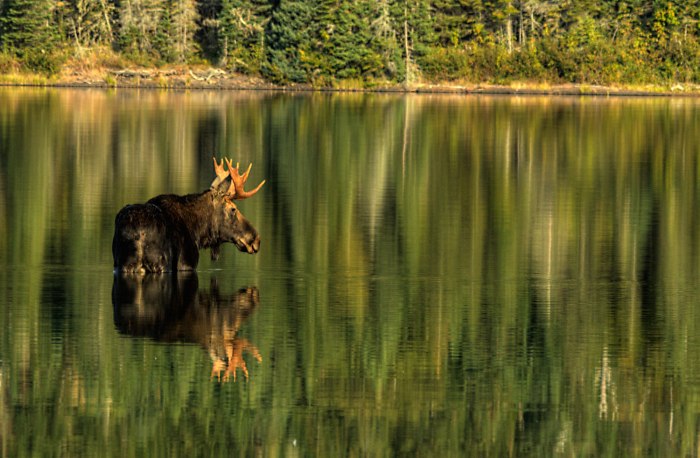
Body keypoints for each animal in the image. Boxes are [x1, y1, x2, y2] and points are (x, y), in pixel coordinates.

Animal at [113, 158, 265, 273]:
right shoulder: (187, 264)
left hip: (123, 264)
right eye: (233, 209)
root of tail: (138, 233)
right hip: (160, 263)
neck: (200, 231)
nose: (256, 239)